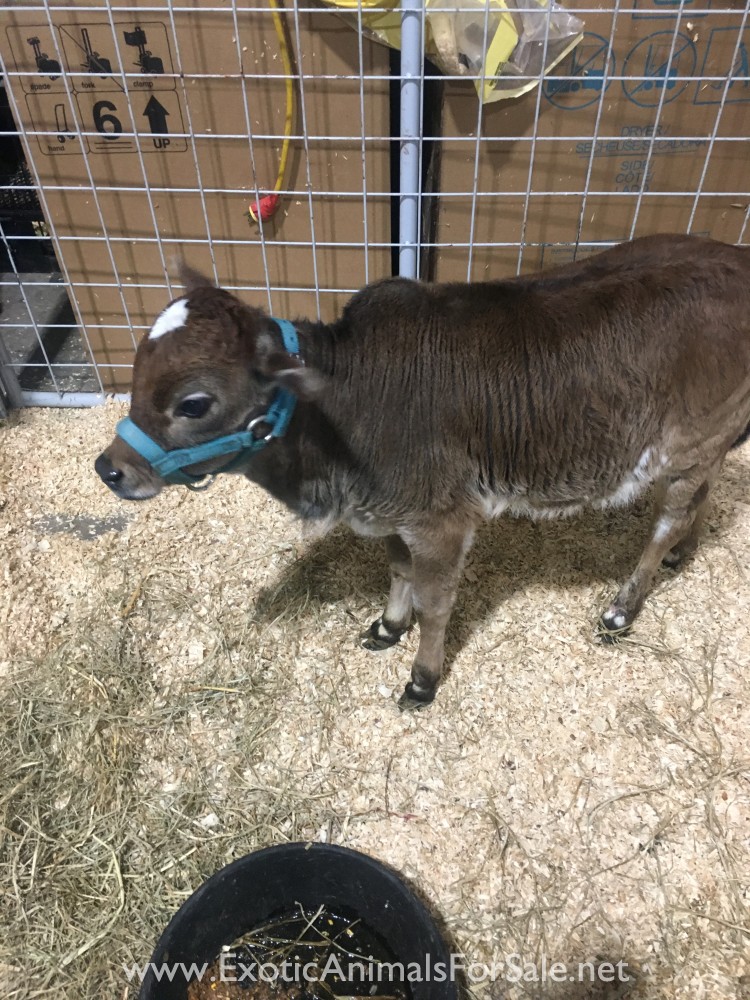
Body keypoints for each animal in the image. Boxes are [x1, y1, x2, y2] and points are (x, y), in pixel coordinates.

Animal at [95, 234, 750, 708]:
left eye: (194, 403)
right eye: (139, 362)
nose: (109, 468)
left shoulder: (442, 521)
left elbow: (437, 602)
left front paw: (422, 678)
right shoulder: (395, 514)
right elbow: (398, 569)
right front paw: (388, 627)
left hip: (690, 443)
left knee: (668, 517)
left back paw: (623, 605)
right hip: (712, 442)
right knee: (704, 498)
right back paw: (682, 555)